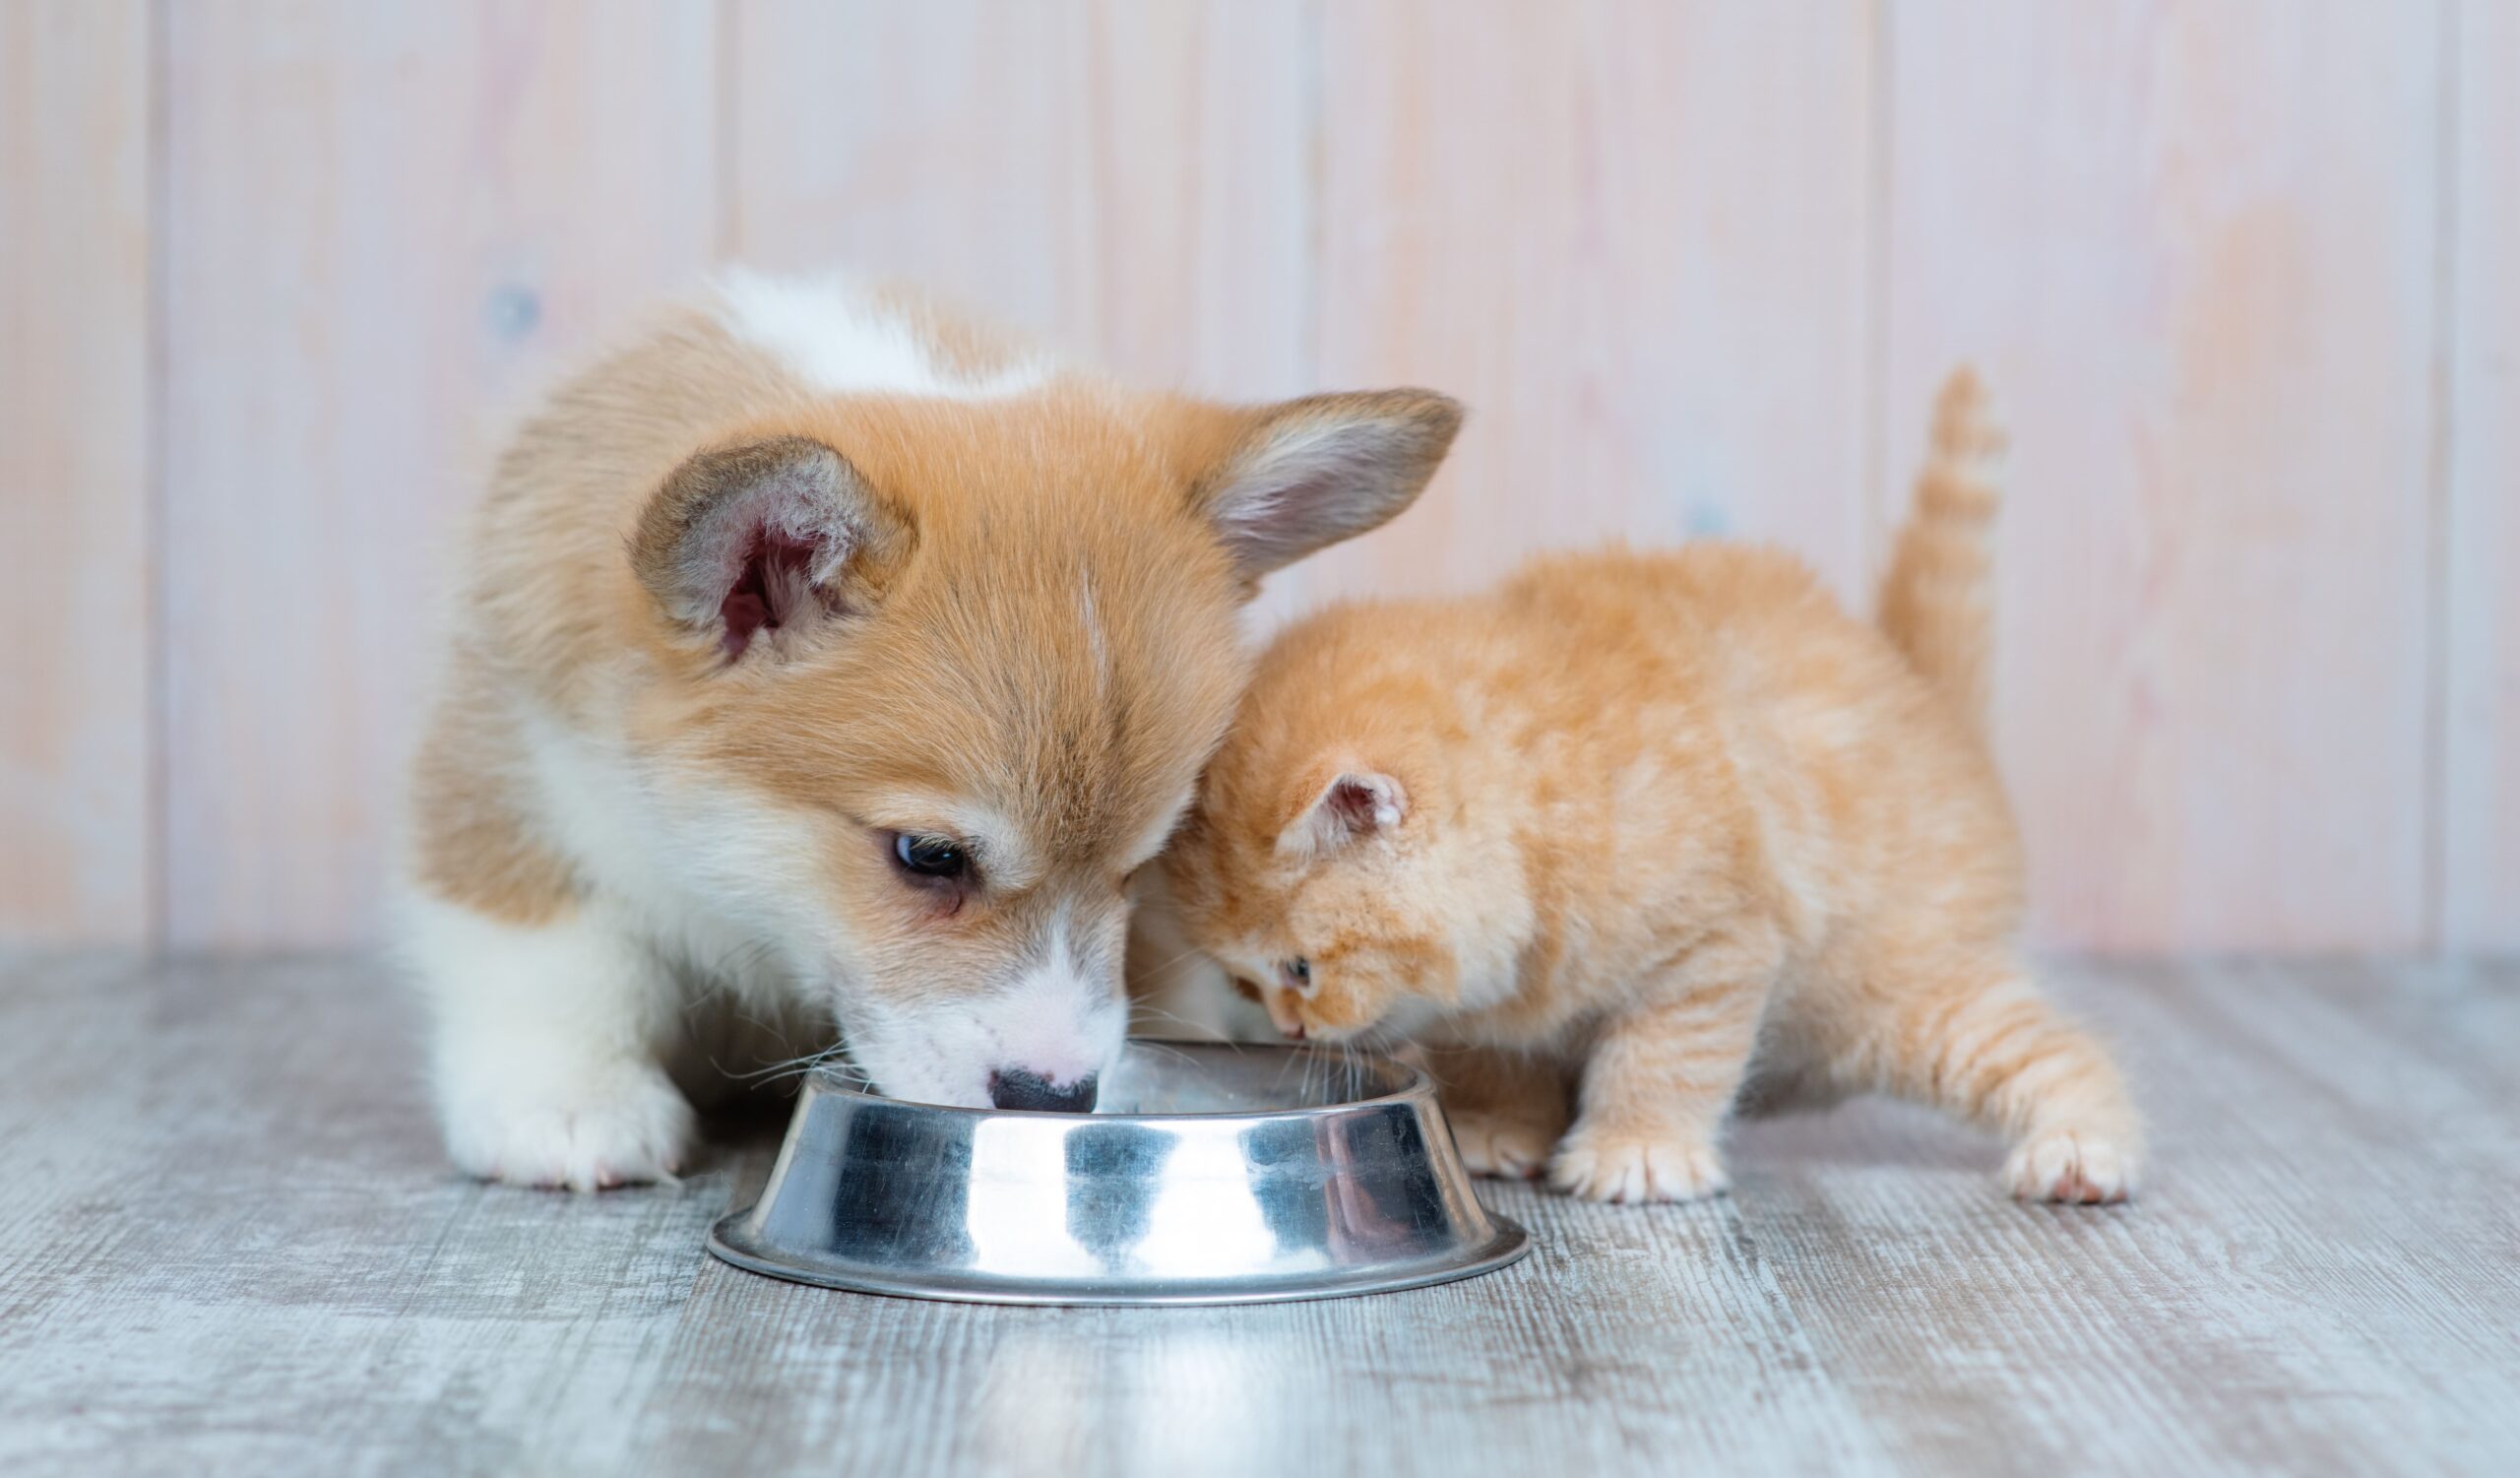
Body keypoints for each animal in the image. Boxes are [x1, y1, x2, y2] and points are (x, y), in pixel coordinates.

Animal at [393, 267, 1461, 1185]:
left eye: (1142, 863)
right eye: (929, 856)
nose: (1053, 1099)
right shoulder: (518, 774)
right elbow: (552, 950)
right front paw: (567, 1103)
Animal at [1164, 373, 2147, 1200]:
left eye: (1298, 967)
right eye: (1242, 980)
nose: (1289, 1028)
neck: (1553, 795)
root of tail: (1927, 695)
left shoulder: (1715, 948)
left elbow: (1666, 1057)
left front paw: (1635, 1150)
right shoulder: (1492, 1001)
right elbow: (1496, 1051)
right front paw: (1491, 1128)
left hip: (1901, 996)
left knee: (2053, 1050)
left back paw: (2081, 1148)